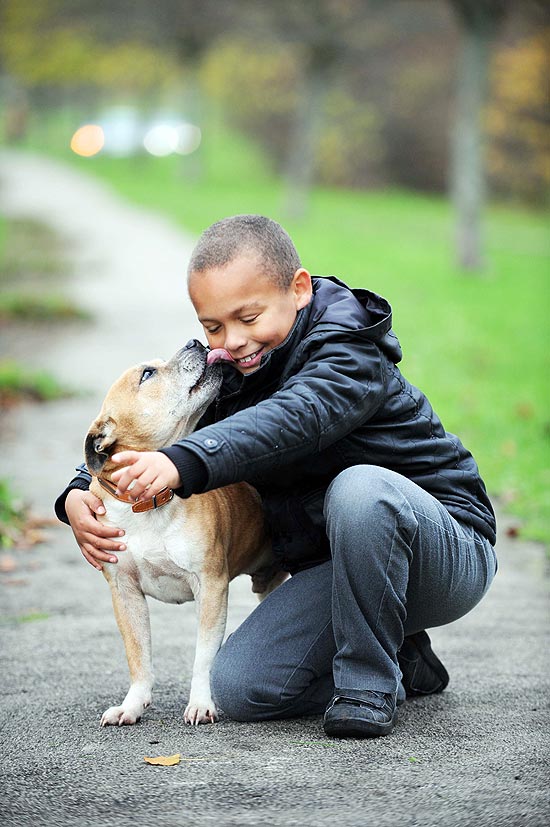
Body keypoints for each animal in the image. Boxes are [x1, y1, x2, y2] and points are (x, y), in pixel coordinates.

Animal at [84, 340, 286, 728]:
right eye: (148, 373)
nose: (195, 342)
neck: (148, 502)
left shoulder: (210, 586)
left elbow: (204, 656)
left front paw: (201, 703)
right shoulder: (125, 594)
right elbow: (138, 655)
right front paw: (132, 704)